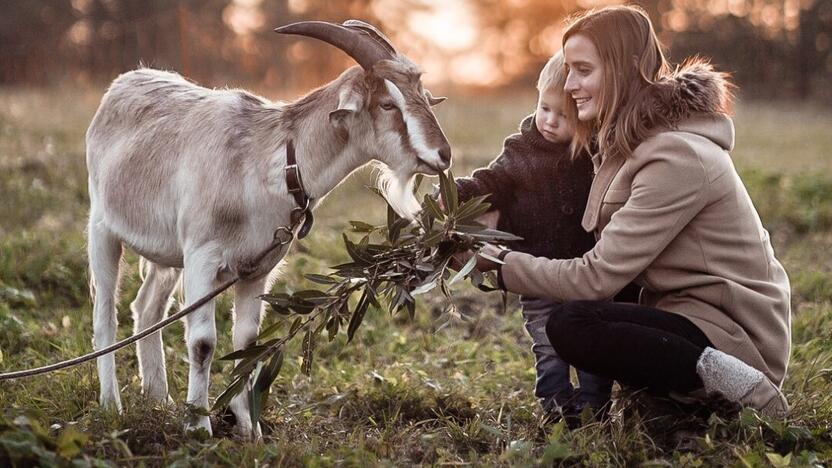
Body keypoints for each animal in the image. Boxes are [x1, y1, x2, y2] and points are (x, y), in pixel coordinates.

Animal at [86, 20, 448, 438]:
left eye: (422, 96)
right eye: (388, 104)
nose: (443, 155)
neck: (270, 162)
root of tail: (122, 85)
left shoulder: (256, 270)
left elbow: (247, 342)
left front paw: (249, 429)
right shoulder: (202, 257)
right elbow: (202, 343)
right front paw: (198, 427)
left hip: (168, 255)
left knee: (146, 309)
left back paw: (158, 398)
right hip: (102, 230)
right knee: (105, 318)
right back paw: (111, 405)